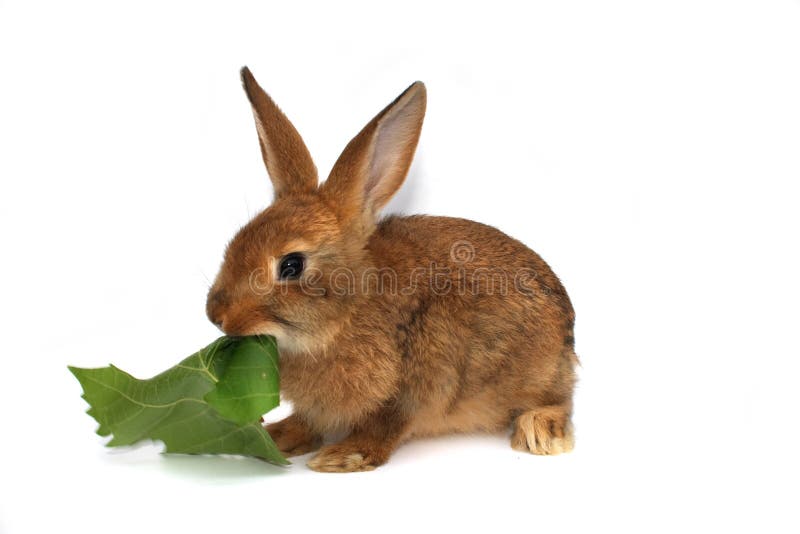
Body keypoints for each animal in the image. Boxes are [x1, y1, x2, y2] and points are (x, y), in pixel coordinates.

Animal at [206, 67, 578, 472]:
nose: (216, 314)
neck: (347, 312)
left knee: (561, 400)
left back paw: (540, 431)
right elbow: (308, 421)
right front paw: (277, 436)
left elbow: (387, 424)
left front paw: (343, 457)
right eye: (237, 239)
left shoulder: (416, 384)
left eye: (292, 265)